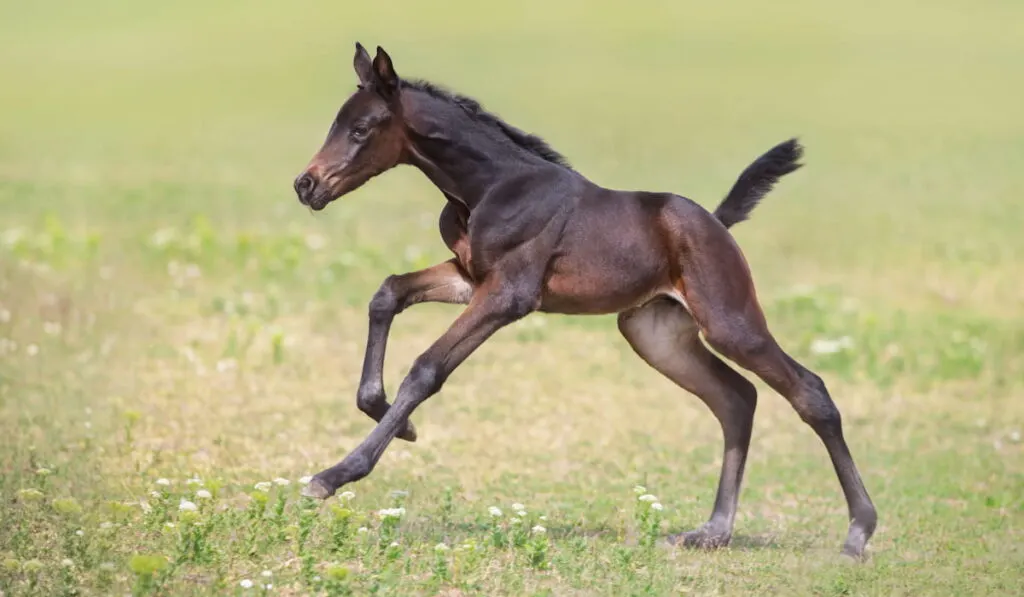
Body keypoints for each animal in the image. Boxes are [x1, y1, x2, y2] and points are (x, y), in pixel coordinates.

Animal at [292, 43, 876, 561]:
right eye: (335, 125)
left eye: (361, 129)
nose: (306, 185)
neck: (490, 187)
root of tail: (716, 223)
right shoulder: (468, 277)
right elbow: (387, 293)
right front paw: (390, 416)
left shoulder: (508, 295)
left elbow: (427, 368)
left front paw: (334, 475)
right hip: (655, 333)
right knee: (736, 399)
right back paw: (711, 533)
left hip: (729, 319)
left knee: (809, 391)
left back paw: (857, 533)